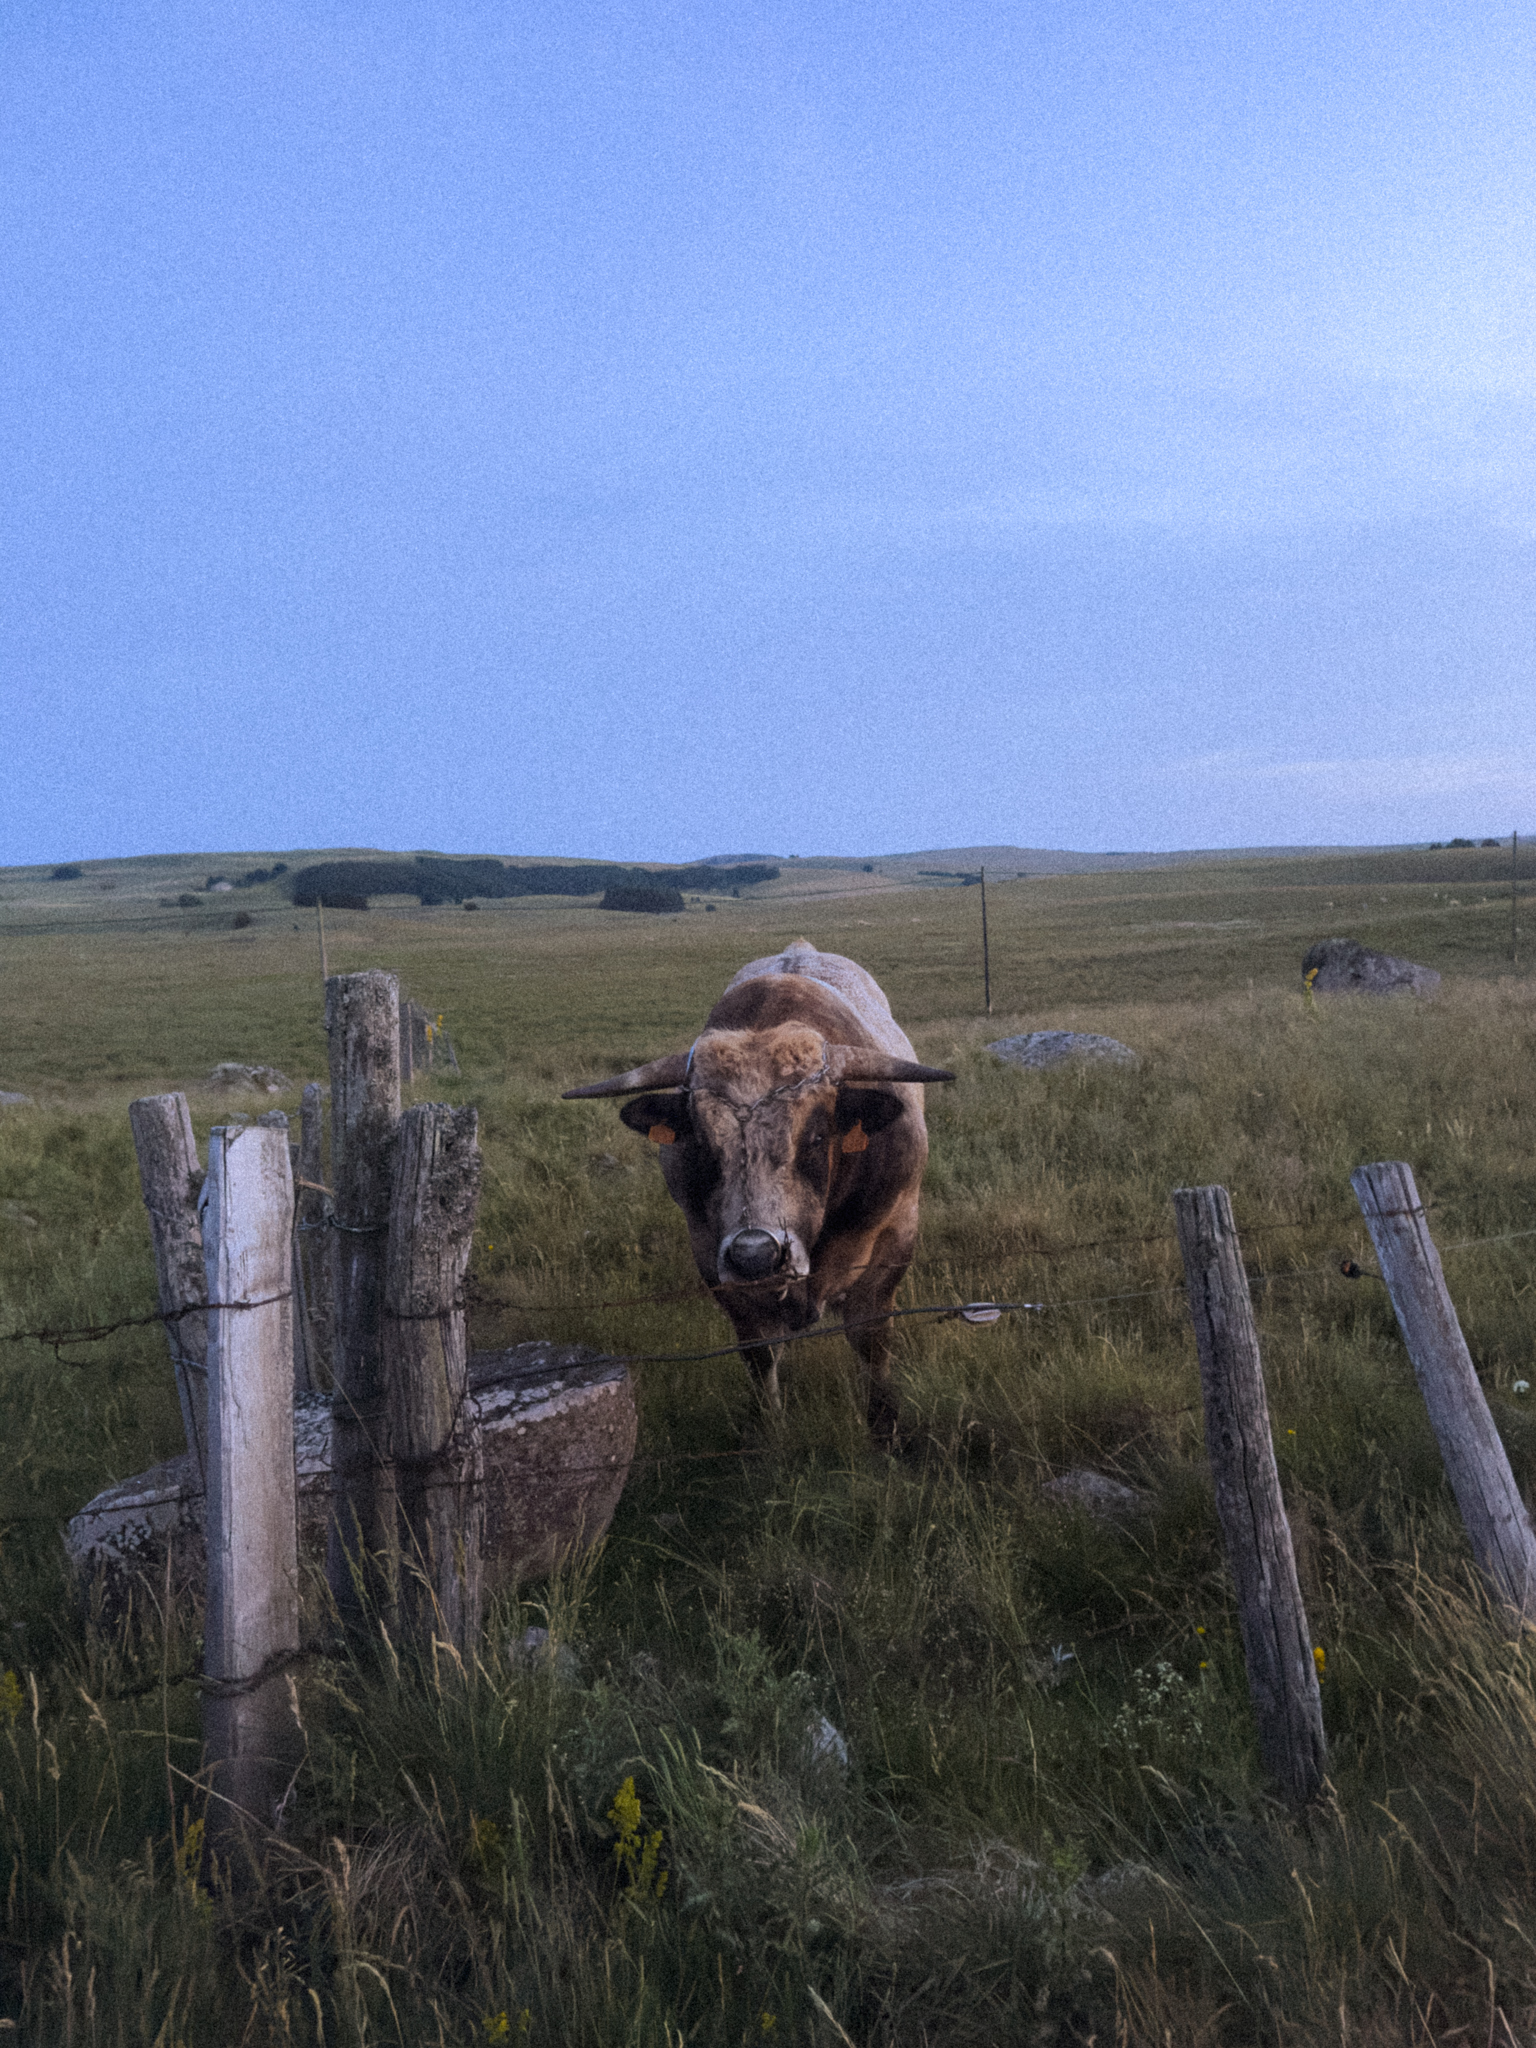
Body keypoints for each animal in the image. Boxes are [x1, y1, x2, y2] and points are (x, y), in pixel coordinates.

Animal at [562, 941, 953, 1445]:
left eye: (817, 1137)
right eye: (702, 1143)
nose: (755, 1255)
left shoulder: (893, 1240)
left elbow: (871, 1342)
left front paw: (885, 1431)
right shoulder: (714, 1262)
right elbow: (761, 1353)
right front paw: (771, 1434)